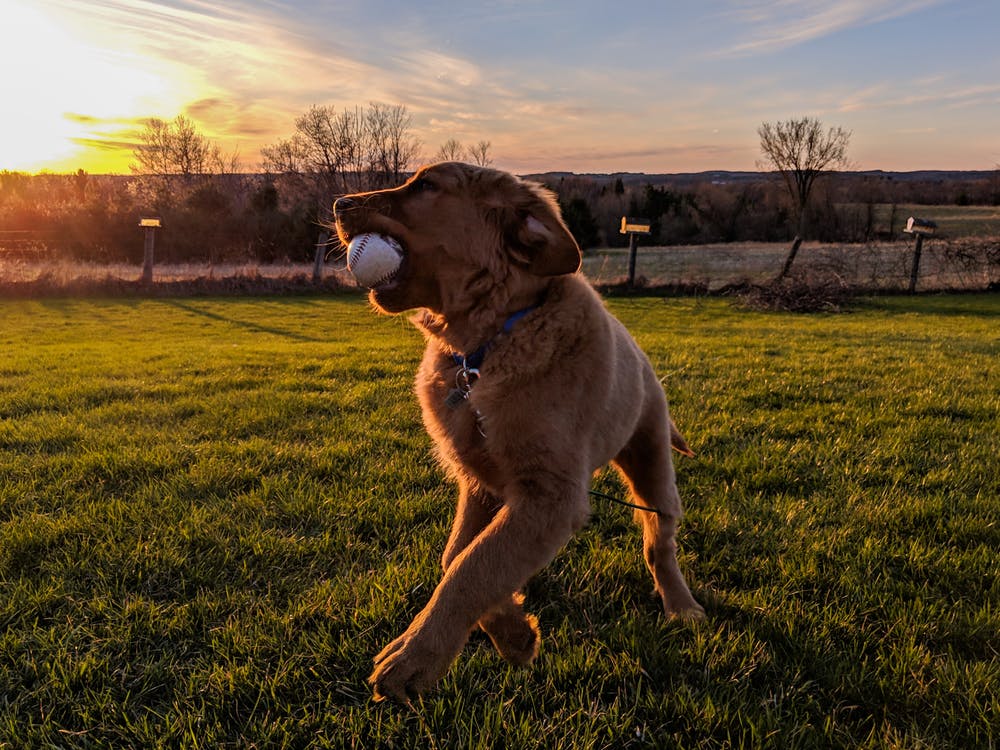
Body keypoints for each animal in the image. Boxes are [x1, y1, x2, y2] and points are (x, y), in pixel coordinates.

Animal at [336, 163, 704, 704]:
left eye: (426, 186)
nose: (338, 204)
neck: (484, 349)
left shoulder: (549, 492)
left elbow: (475, 565)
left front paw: (414, 658)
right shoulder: (481, 481)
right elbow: (459, 556)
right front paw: (513, 632)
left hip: (652, 458)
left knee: (660, 542)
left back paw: (682, 606)